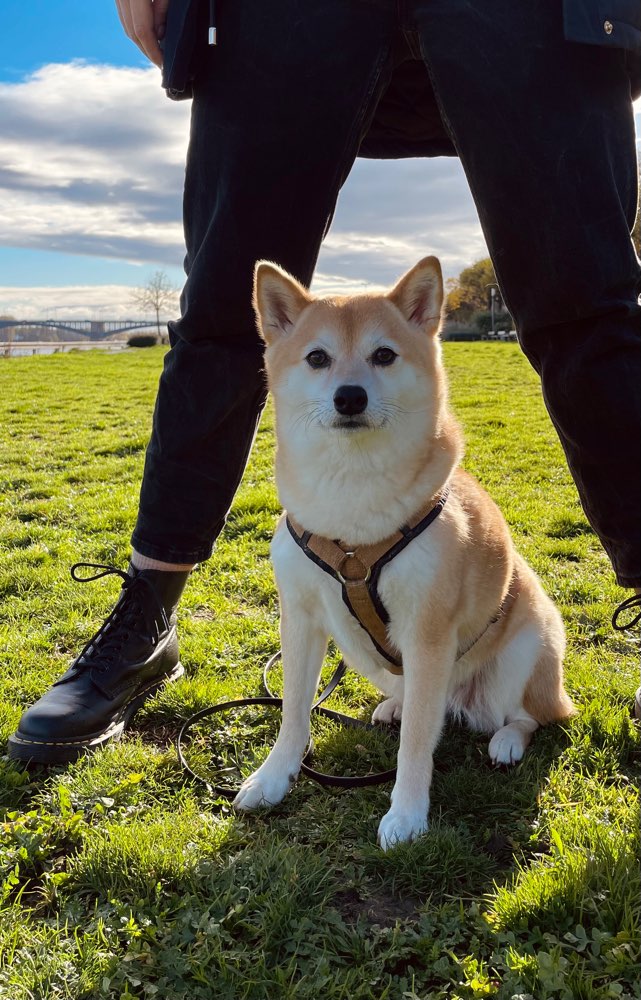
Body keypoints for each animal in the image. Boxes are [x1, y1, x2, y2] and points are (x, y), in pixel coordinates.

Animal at [232, 254, 572, 848]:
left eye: (384, 355)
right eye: (317, 357)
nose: (349, 396)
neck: (352, 495)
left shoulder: (427, 630)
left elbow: (418, 740)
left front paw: (408, 813)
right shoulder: (299, 619)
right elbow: (294, 712)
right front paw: (274, 778)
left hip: (527, 648)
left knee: (528, 714)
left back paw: (507, 739)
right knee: (414, 698)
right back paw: (393, 705)